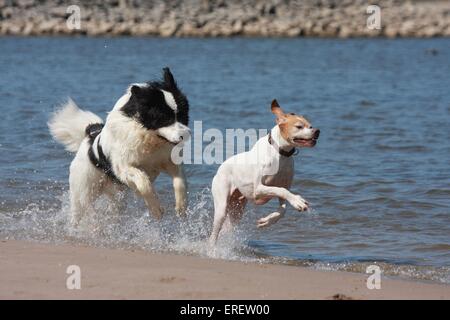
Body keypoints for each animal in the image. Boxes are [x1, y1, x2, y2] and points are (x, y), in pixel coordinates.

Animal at [48, 68, 191, 226]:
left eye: (183, 115)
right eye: (165, 119)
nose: (187, 134)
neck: (147, 136)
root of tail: (89, 135)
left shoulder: (168, 161)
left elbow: (180, 182)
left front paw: (181, 207)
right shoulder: (123, 167)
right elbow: (144, 182)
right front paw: (155, 209)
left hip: (116, 196)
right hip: (83, 190)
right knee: (80, 210)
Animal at [208, 100, 318, 245]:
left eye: (310, 125)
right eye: (299, 126)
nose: (317, 131)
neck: (280, 154)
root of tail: (220, 168)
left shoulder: (284, 186)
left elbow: (283, 208)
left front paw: (267, 221)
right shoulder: (258, 189)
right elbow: (281, 190)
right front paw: (298, 201)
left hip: (237, 209)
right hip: (222, 205)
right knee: (214, 233)